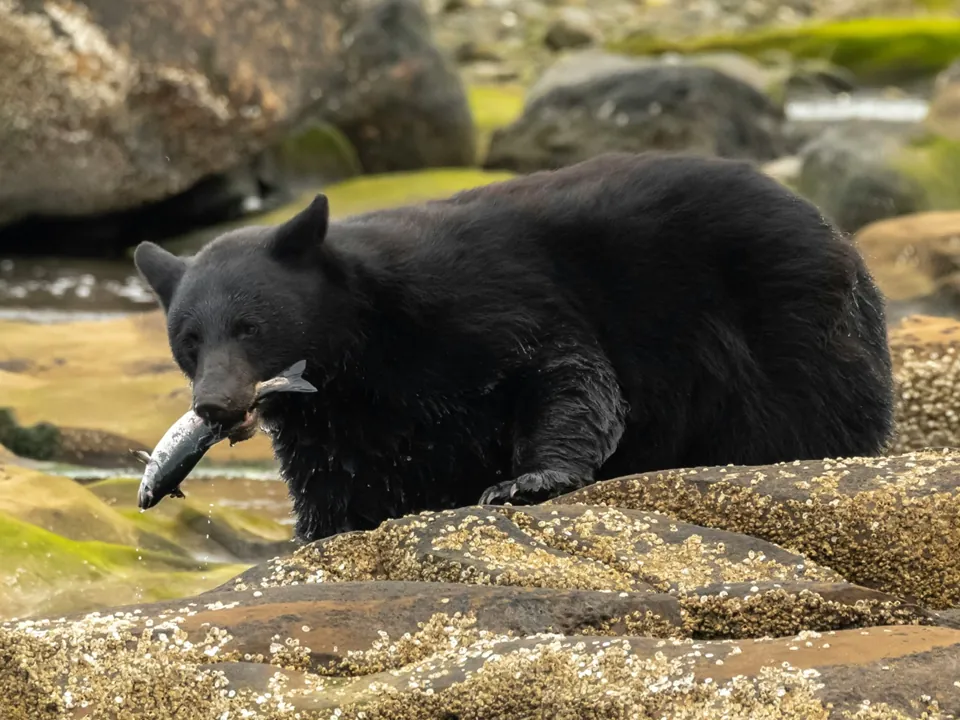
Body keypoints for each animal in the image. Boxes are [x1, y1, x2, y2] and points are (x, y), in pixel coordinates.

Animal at [133, 151, 895, 543]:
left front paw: (525, 481)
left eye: (250, 326)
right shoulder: (342, 420)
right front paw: (324, 533)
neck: (365, 343)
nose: (215, 406)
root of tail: (838, 237)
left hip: (787, 325)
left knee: (806, 415)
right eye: (188, 341)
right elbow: (342, 485)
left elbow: (565, 373)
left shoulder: (487, 299)